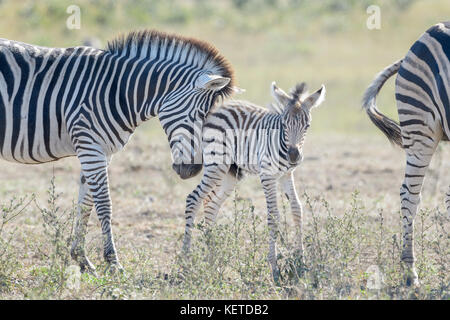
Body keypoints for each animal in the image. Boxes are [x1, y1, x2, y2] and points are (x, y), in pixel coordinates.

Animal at [0, 30, 237, 274]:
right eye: (200, 114)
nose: (193, 170)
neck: (118, 91)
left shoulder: (101, 152)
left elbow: (86, 204)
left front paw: (82, 259)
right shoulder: (90, 147)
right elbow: (104, 203)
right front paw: (113, 262)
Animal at [181, 80, 326, 280]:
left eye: (308, 125)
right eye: (283, 123)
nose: (294, 155)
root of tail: (216, 108)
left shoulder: (286, 175)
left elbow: (297, 208)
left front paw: (300, 261)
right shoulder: (267, 175)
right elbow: (274, 215)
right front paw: (274, 269)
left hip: (230, 172)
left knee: (211, 204)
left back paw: (212, 260)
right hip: (216, 164)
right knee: (193, 199)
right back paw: (185, 263)